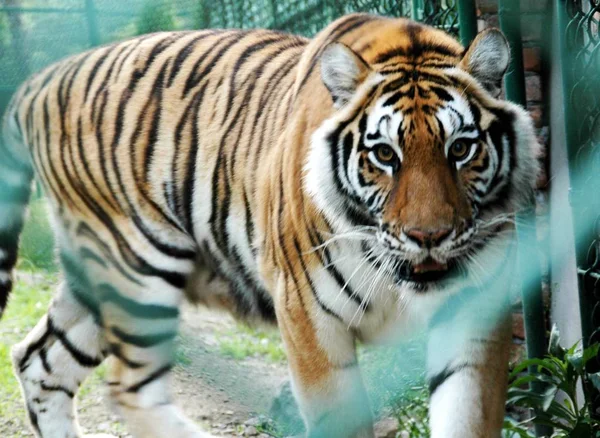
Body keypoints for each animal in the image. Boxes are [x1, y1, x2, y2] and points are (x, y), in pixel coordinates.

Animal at [0, 12, 540, 438]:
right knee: (129, 391)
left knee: (37, 362)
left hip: (98, 276)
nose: (429, 238)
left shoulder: (474, 310)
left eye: (461, 149)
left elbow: (467, 416)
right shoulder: (307, 315)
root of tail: (36, 83)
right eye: (385, 155)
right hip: (140, 266)